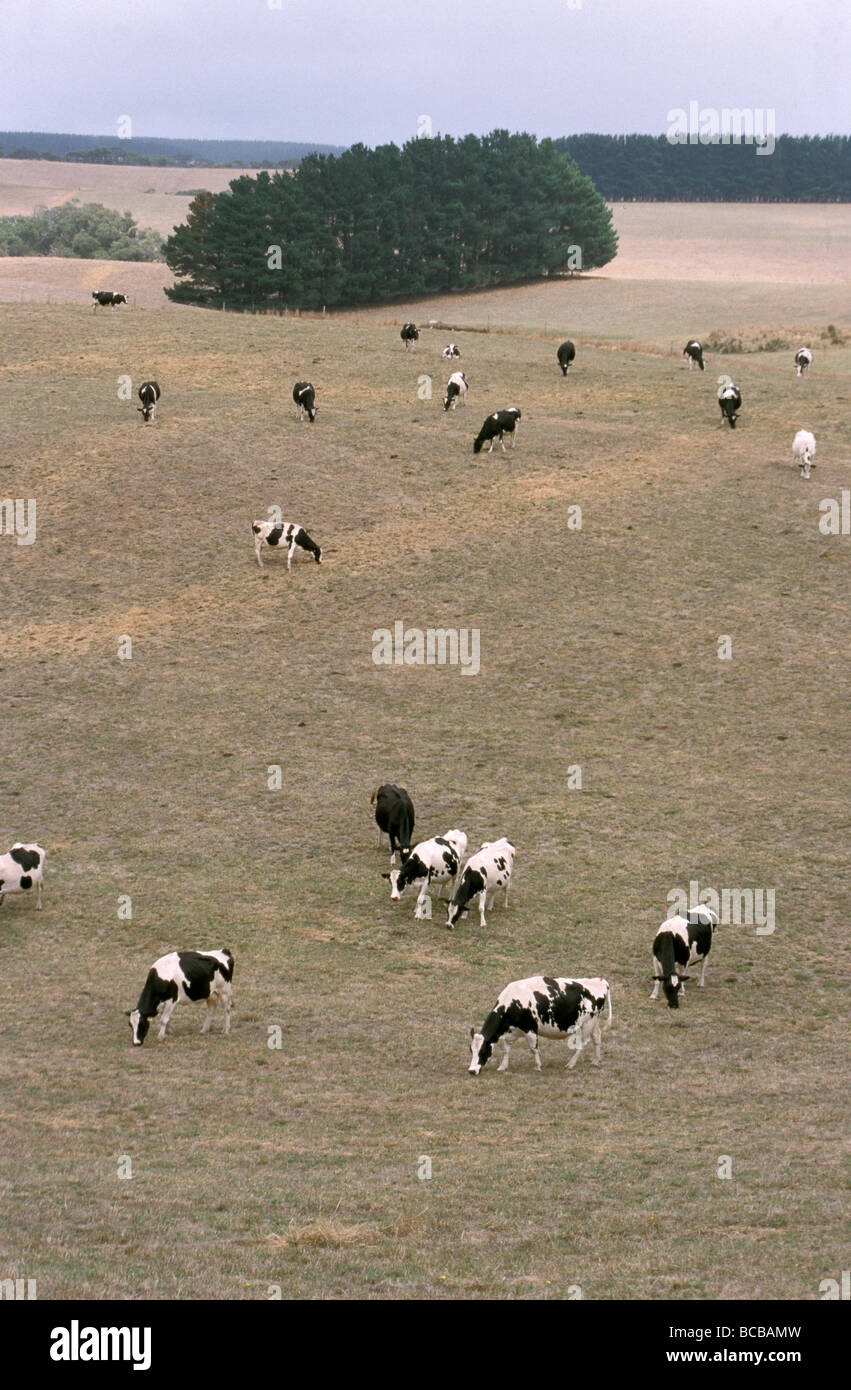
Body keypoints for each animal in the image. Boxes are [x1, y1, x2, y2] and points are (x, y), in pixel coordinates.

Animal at [469, 975, 612, 1074]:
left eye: (482, 1050)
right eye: (471, 1050)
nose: (471, 1071)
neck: (513, 1002)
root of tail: (600, 981)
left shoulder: (530, 1029)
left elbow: (534, 1049)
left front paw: (538, 1066)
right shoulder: (511, 1031)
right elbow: (506, 1049)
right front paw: (502, 1066)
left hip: (588, 1023)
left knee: (582, 1043)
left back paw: (571, 1064)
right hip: (594, 1022)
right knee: (597, 1037)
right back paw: (595, 1061)